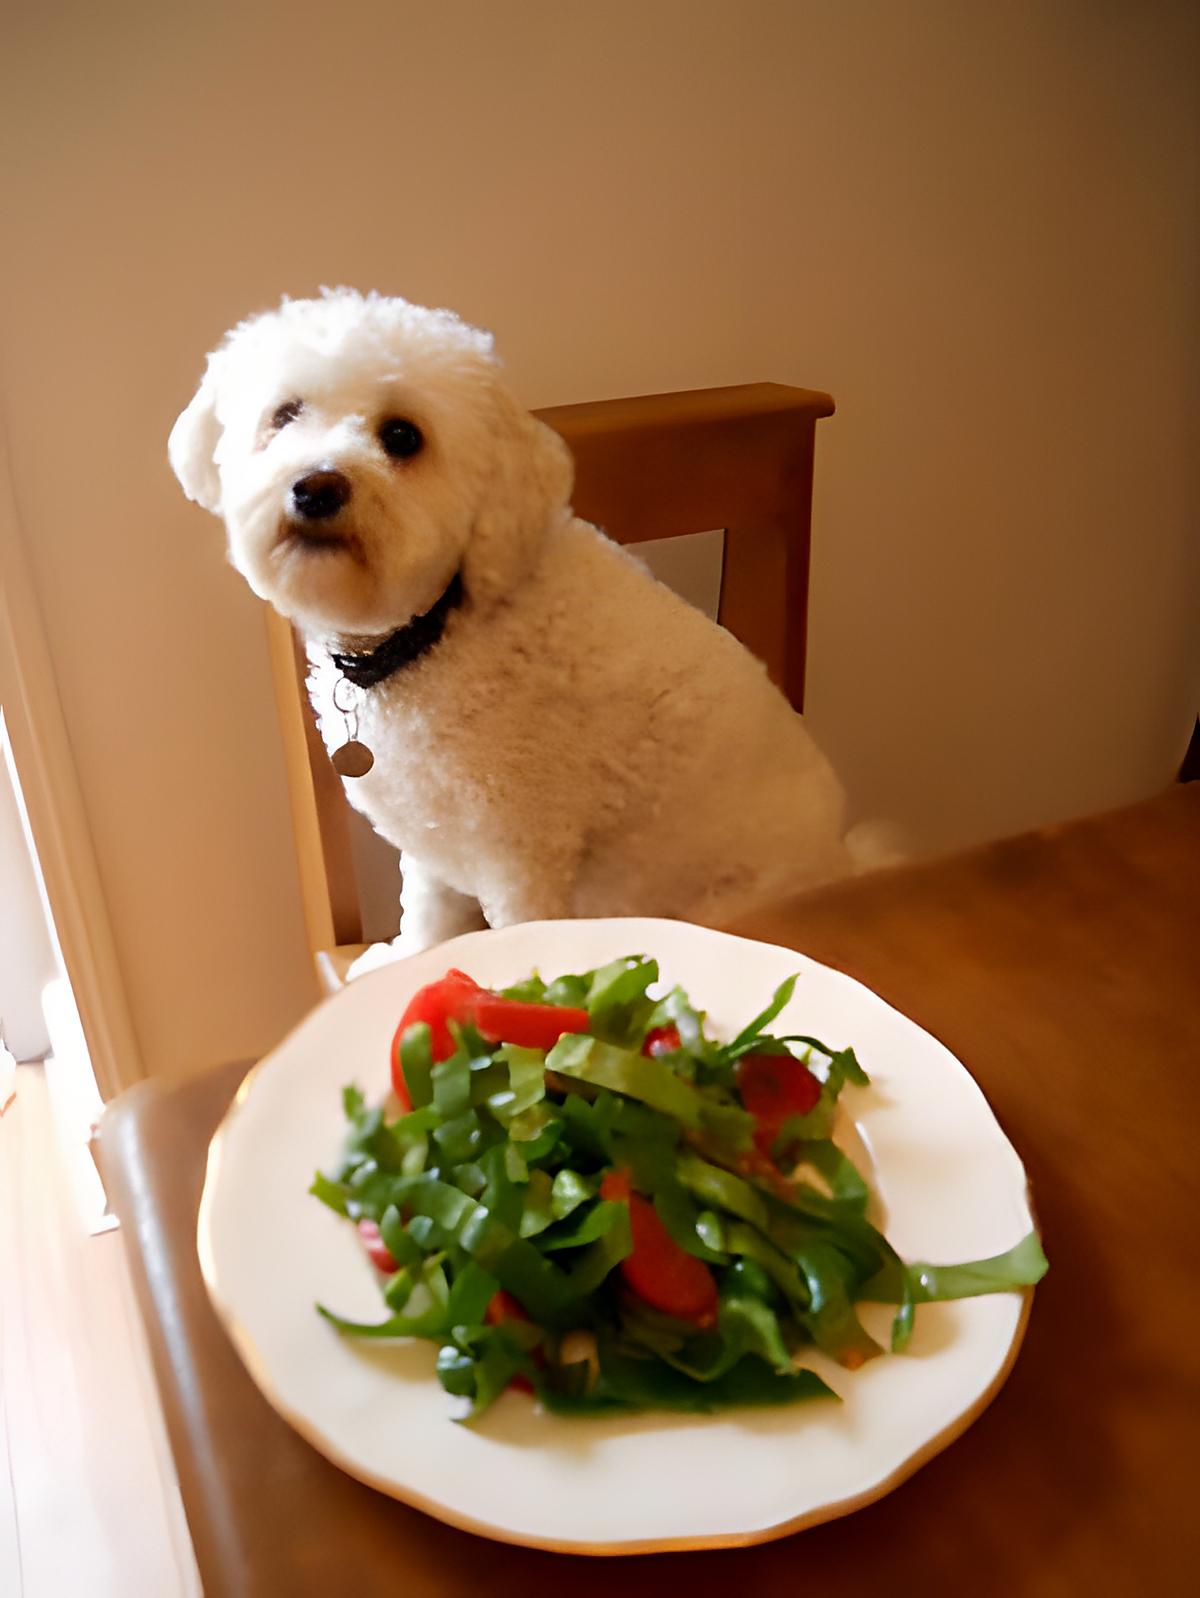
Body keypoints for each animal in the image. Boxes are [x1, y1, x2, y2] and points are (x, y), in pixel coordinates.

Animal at [170, 287, 862, 952]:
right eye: (285, 414)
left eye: (402, 436)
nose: (316, 488)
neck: (432, 634)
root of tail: (845, 859)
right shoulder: (431, 839)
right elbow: (428, 920)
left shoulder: (520, 856)